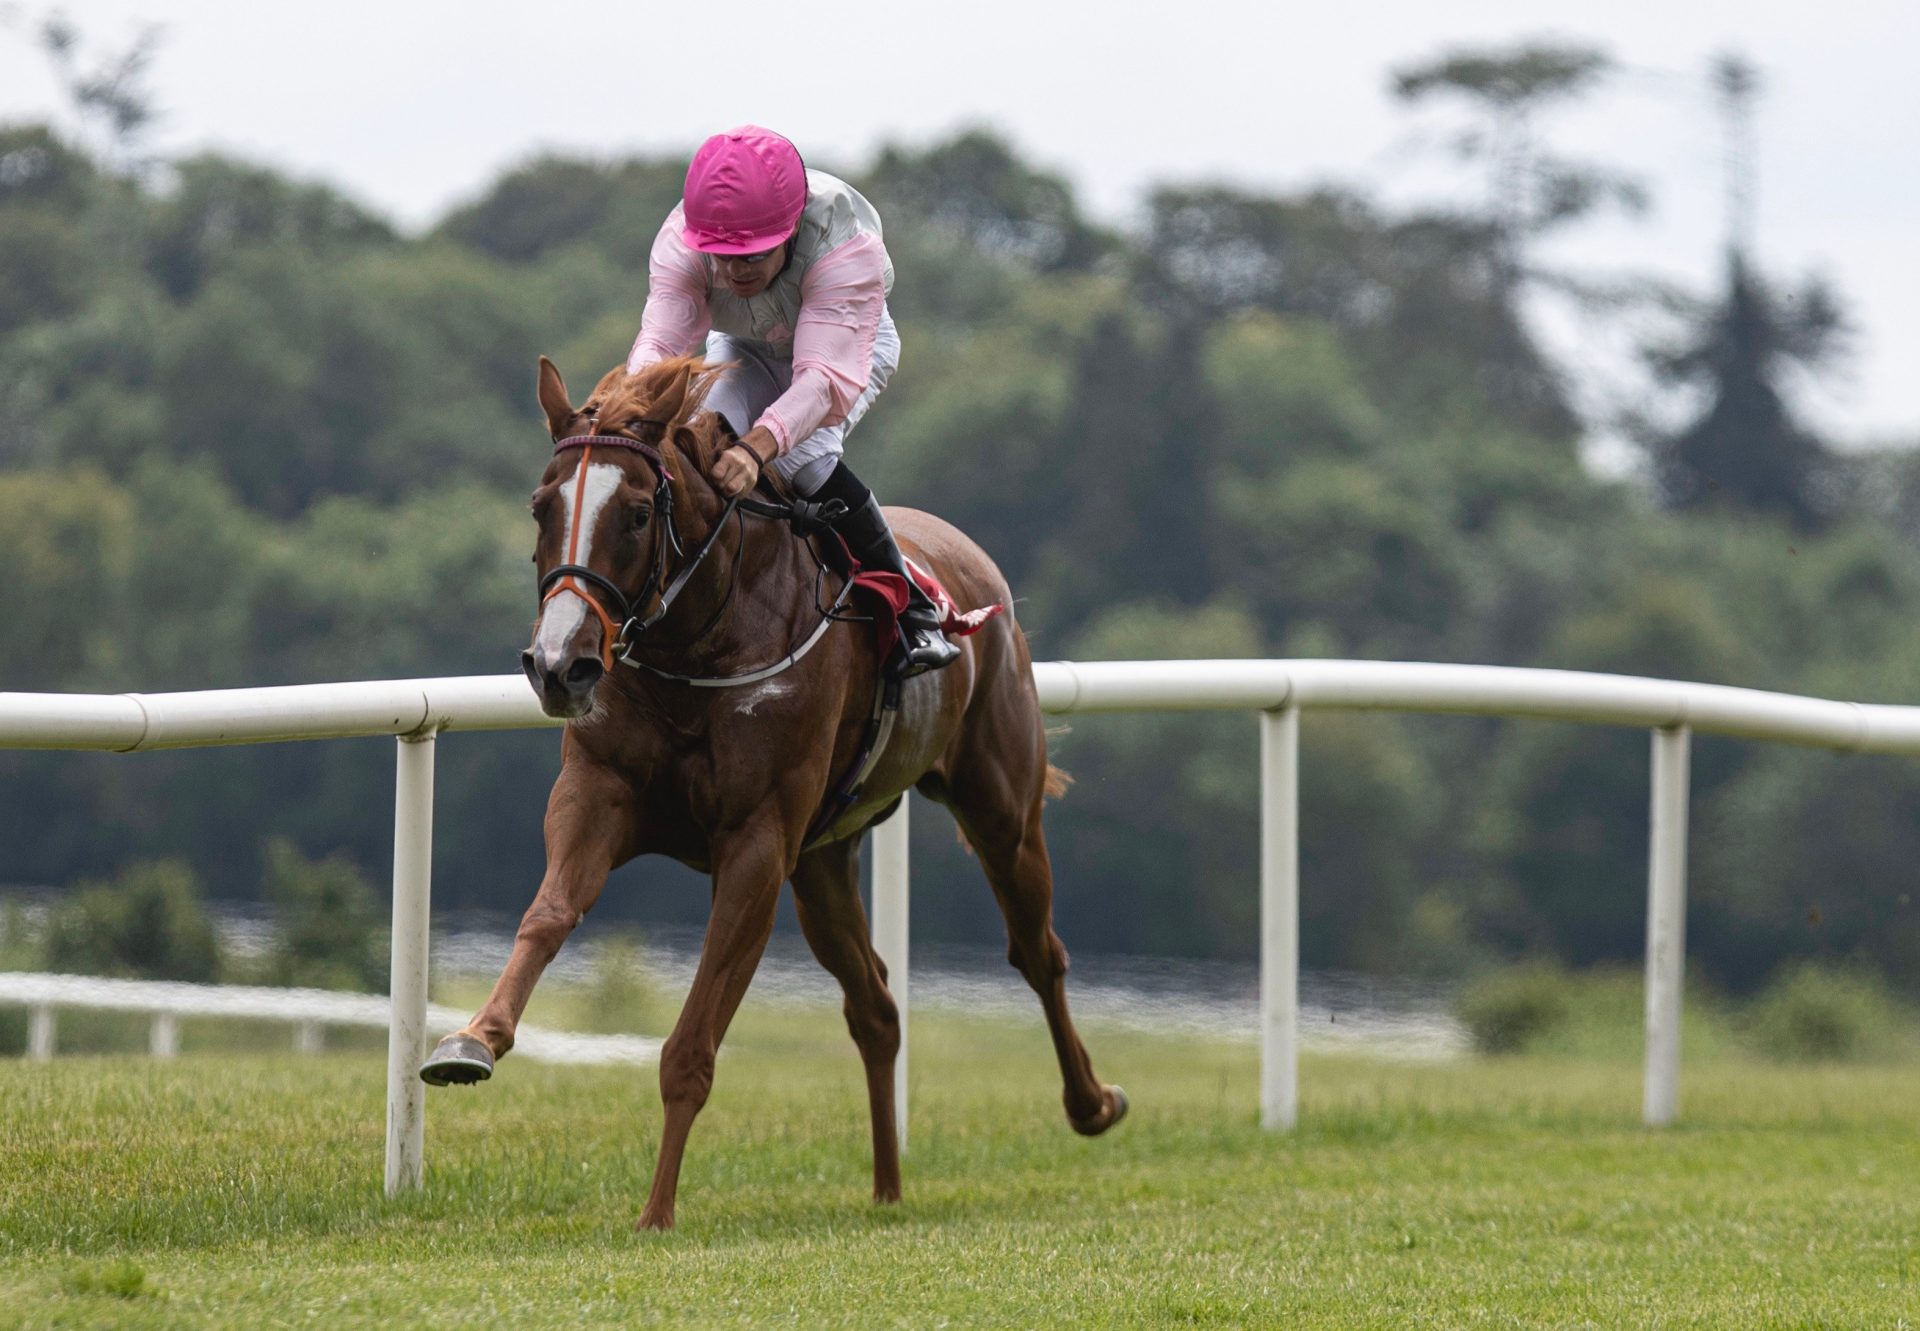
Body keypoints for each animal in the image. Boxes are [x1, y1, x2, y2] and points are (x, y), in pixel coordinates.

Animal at [420, 349, 1121, 1221]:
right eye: (542, 506)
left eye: (638, 514)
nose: (559, 664)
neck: (701, 638)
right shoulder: (598, 792)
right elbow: (548, 913)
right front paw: (471, 1039)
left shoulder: (756, 841)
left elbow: (692, 1044)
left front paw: (656, 1212)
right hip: (822, 861)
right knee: (876, 1007)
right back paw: (887, 1187)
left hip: (1000, 809)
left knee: (1037, 950)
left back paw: (1092, 1102)